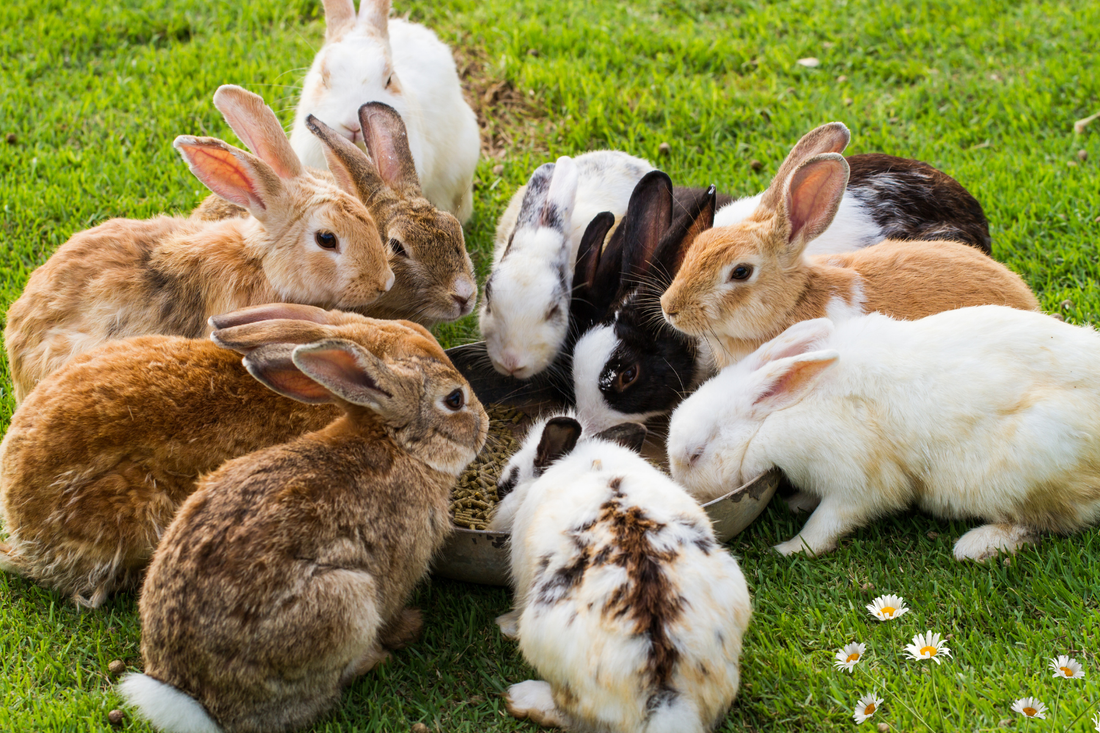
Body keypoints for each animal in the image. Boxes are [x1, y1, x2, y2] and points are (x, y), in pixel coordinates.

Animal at [118, 322, 487, 733]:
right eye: (454, 399)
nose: (486, 423)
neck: (400, 445)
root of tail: (197, 700)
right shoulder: (399, 569)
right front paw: (407, 627)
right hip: (346, 601)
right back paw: (374, 659)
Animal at [489, 414, 751, 733]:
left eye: (508, 484)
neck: (588, 461)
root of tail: (666, 700)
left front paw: (505, 624)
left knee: (572, 716)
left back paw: (522, 697)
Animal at [668, 308, 1100, 560]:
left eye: (696, 454)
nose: (689, 496)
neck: (774, 418)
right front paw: (796, 503)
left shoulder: (856, 483)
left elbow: (827, 524)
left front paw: (790, 548)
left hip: (1024, 470)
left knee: (1047, 523)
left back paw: (977, 545)